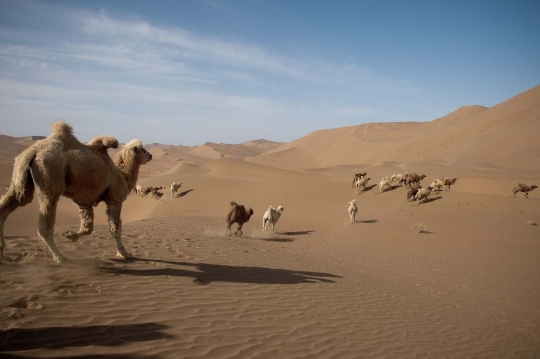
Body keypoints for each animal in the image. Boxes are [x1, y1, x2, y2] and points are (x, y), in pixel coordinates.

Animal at [0, 122, 152, 262]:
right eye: (143, 150)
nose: (150, 155)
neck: (122, 175)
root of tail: (33, 151)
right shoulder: (115, 199)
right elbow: (115, 228)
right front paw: (124, 253)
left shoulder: (83, 201)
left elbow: (87, 227)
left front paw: (69, 235)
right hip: (50, 178)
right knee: (45, 222)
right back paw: (59, 257)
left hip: (21, 179)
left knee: (10, 203)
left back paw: (2, 250)